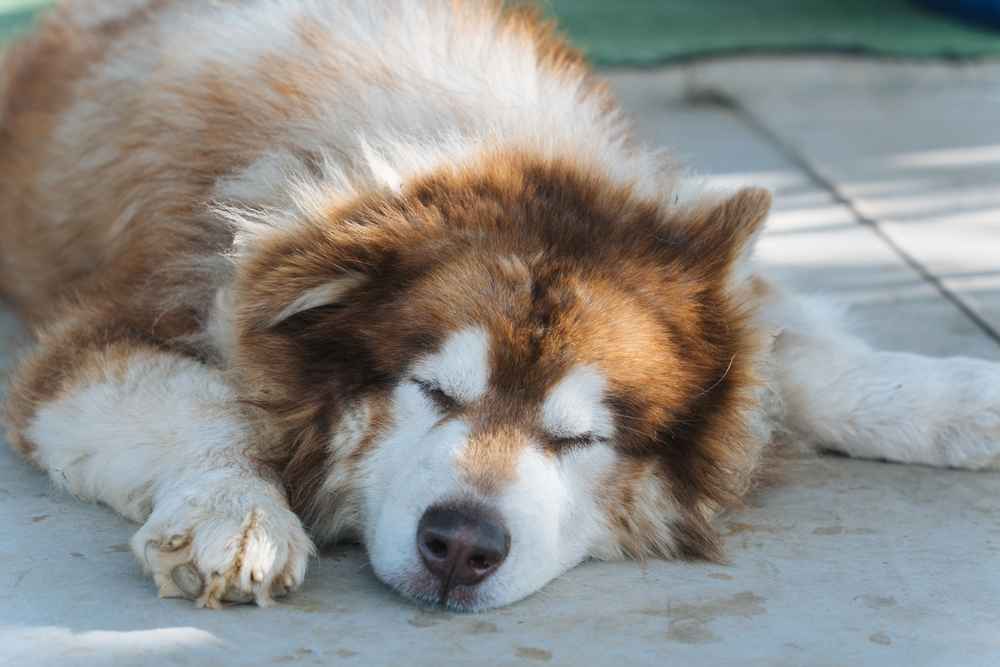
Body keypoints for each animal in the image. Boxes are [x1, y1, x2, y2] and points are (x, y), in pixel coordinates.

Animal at [1, 0, 1000, 612]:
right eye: (433, 391)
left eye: (581, 437)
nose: (460, 545)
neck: (465, 135)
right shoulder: (99, 338)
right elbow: (210, 409)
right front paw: (235, 512)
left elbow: (803, 356)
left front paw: (961, 399)